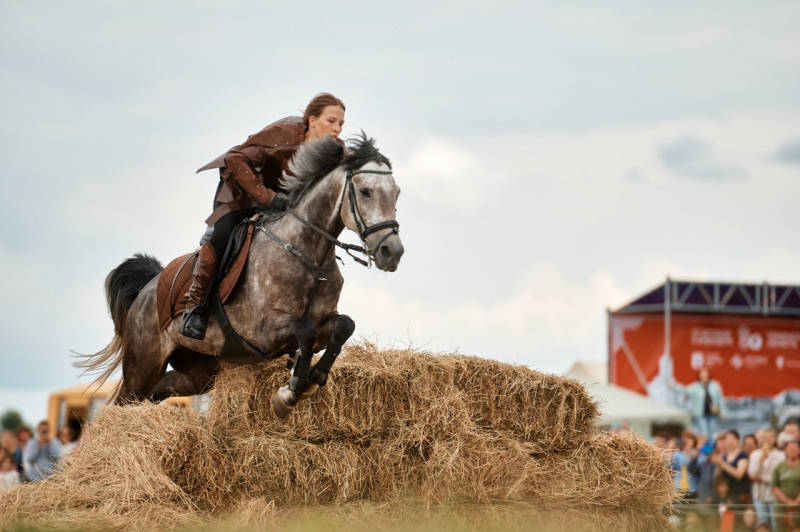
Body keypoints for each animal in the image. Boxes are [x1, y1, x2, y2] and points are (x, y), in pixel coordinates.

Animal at [78, 132, 404, 416]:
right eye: (365, 191)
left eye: (397, 193)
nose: (393, 252)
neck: (309, 255)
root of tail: (149, 288)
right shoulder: (264, 331)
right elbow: (305, 328)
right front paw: (290, 392)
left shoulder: (324, 321)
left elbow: (343, 326)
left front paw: (311, 379)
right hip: (143, 363)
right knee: (122, 403)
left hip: (198, 373)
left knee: (158, 392)